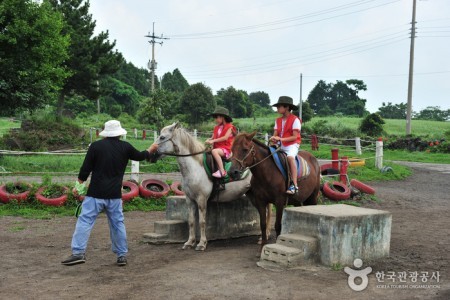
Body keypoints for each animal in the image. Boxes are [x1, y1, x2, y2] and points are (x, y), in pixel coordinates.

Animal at [154, 122, 253, 251]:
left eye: (162, 137)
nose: (152, 153)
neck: (195, 169)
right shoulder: (189, 199)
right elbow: (191, 221)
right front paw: (189, 242)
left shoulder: (201, 199)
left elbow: (202, 221)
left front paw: (202, 243)